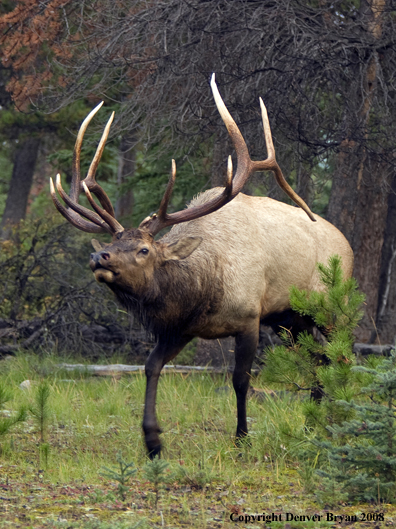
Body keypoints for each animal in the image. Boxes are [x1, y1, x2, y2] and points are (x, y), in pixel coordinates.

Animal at [50, 72, 352, 456]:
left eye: (144, 250)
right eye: (113, 243)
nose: (98, 256)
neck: (203, 289)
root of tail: (347, 243)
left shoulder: (250, 317)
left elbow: (241, 380)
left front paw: (241, 438)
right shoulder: (180, 328)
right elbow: (150, 367)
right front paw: (152, 440)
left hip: (333, 308)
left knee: (341, 356)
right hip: (291, 321)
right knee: (317, 360)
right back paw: (313, 423)